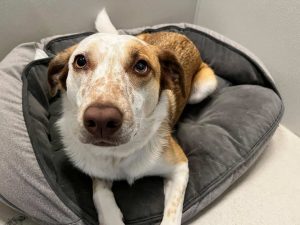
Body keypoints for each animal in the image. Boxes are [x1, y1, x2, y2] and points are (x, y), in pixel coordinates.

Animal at [47, 10, 217, 225]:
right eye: (80, 61)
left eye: (141, 66)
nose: (101, 120)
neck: (119, 154)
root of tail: (180, 34)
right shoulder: (97, 170)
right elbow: (100, 197)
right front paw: (112, 217)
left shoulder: (180, 167)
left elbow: (172, 214)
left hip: (204, 87)